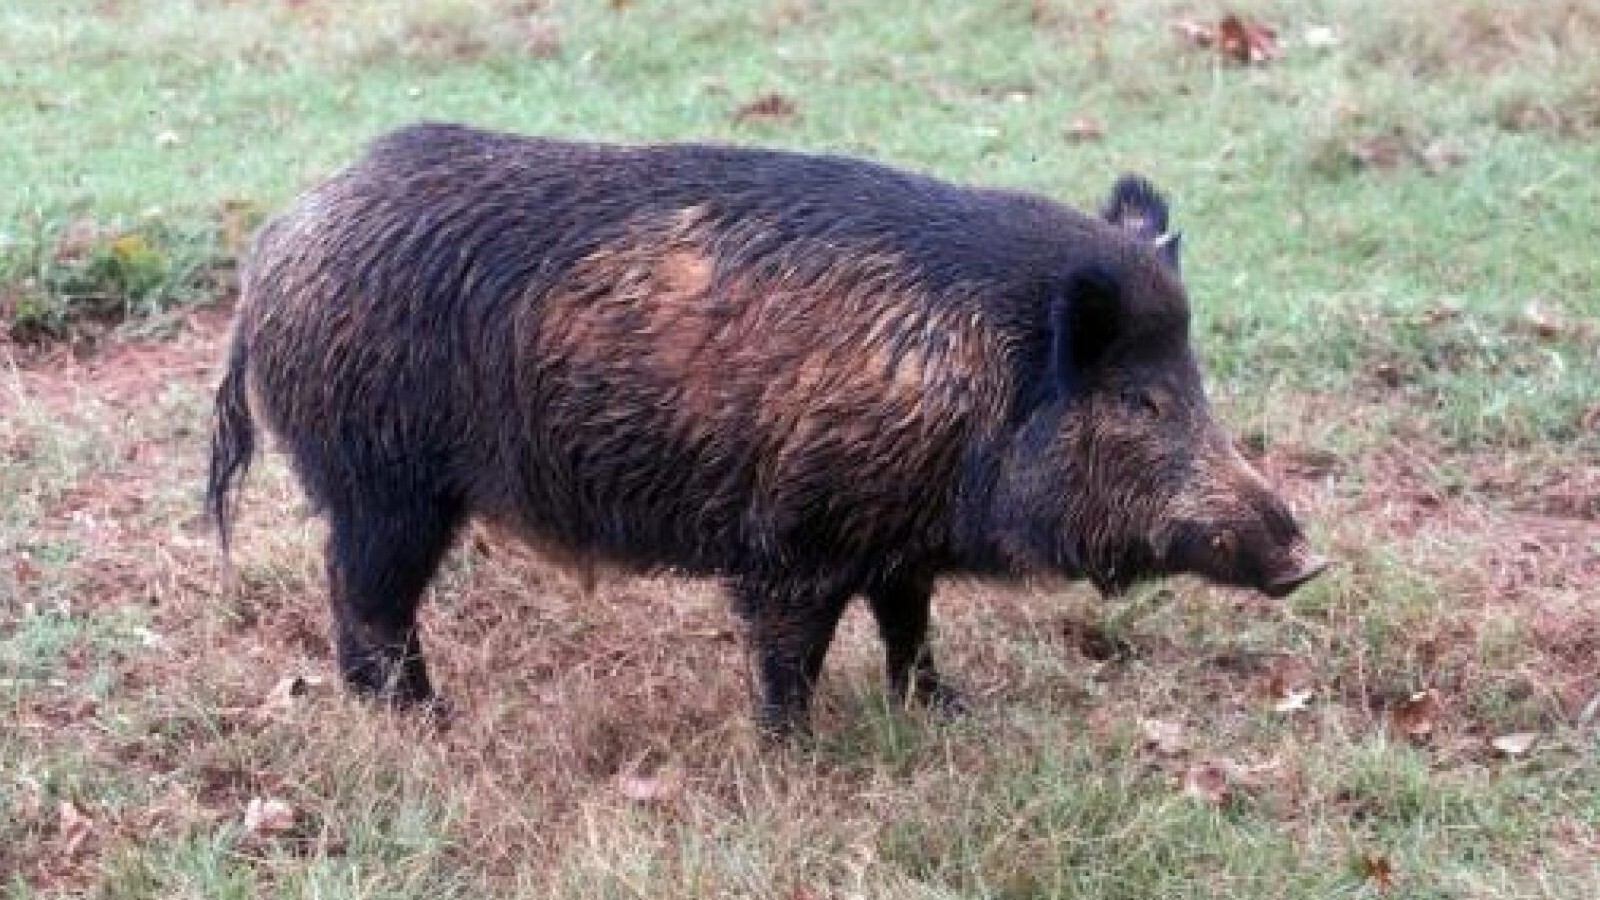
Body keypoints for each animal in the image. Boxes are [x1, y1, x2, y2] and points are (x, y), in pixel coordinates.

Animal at [207, 123, 1326, 735]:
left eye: (1195, 378)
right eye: (1140, 400)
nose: (1305, 555)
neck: (973, 381)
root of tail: (275, 247)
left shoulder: (898, 538)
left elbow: (911, 625)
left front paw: (942, 710)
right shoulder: (795, 536)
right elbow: (790, 656)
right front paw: (798, 753)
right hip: (382, 482)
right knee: (366, 597)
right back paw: (423, 720)